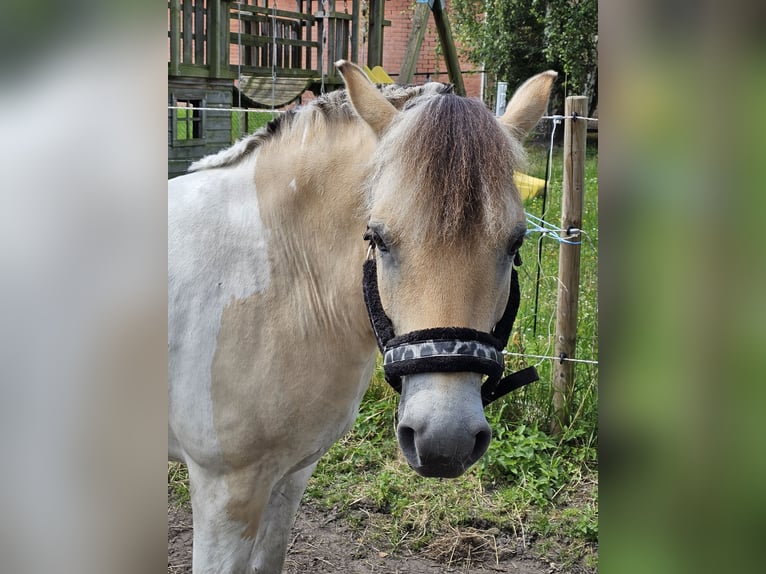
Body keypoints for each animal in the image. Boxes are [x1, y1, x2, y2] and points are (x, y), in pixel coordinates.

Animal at [168, 61, 556, 573]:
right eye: (377, 237)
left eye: (515, 242)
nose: (444, 441)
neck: (272, 277)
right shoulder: (224, 494)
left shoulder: (290, 476)